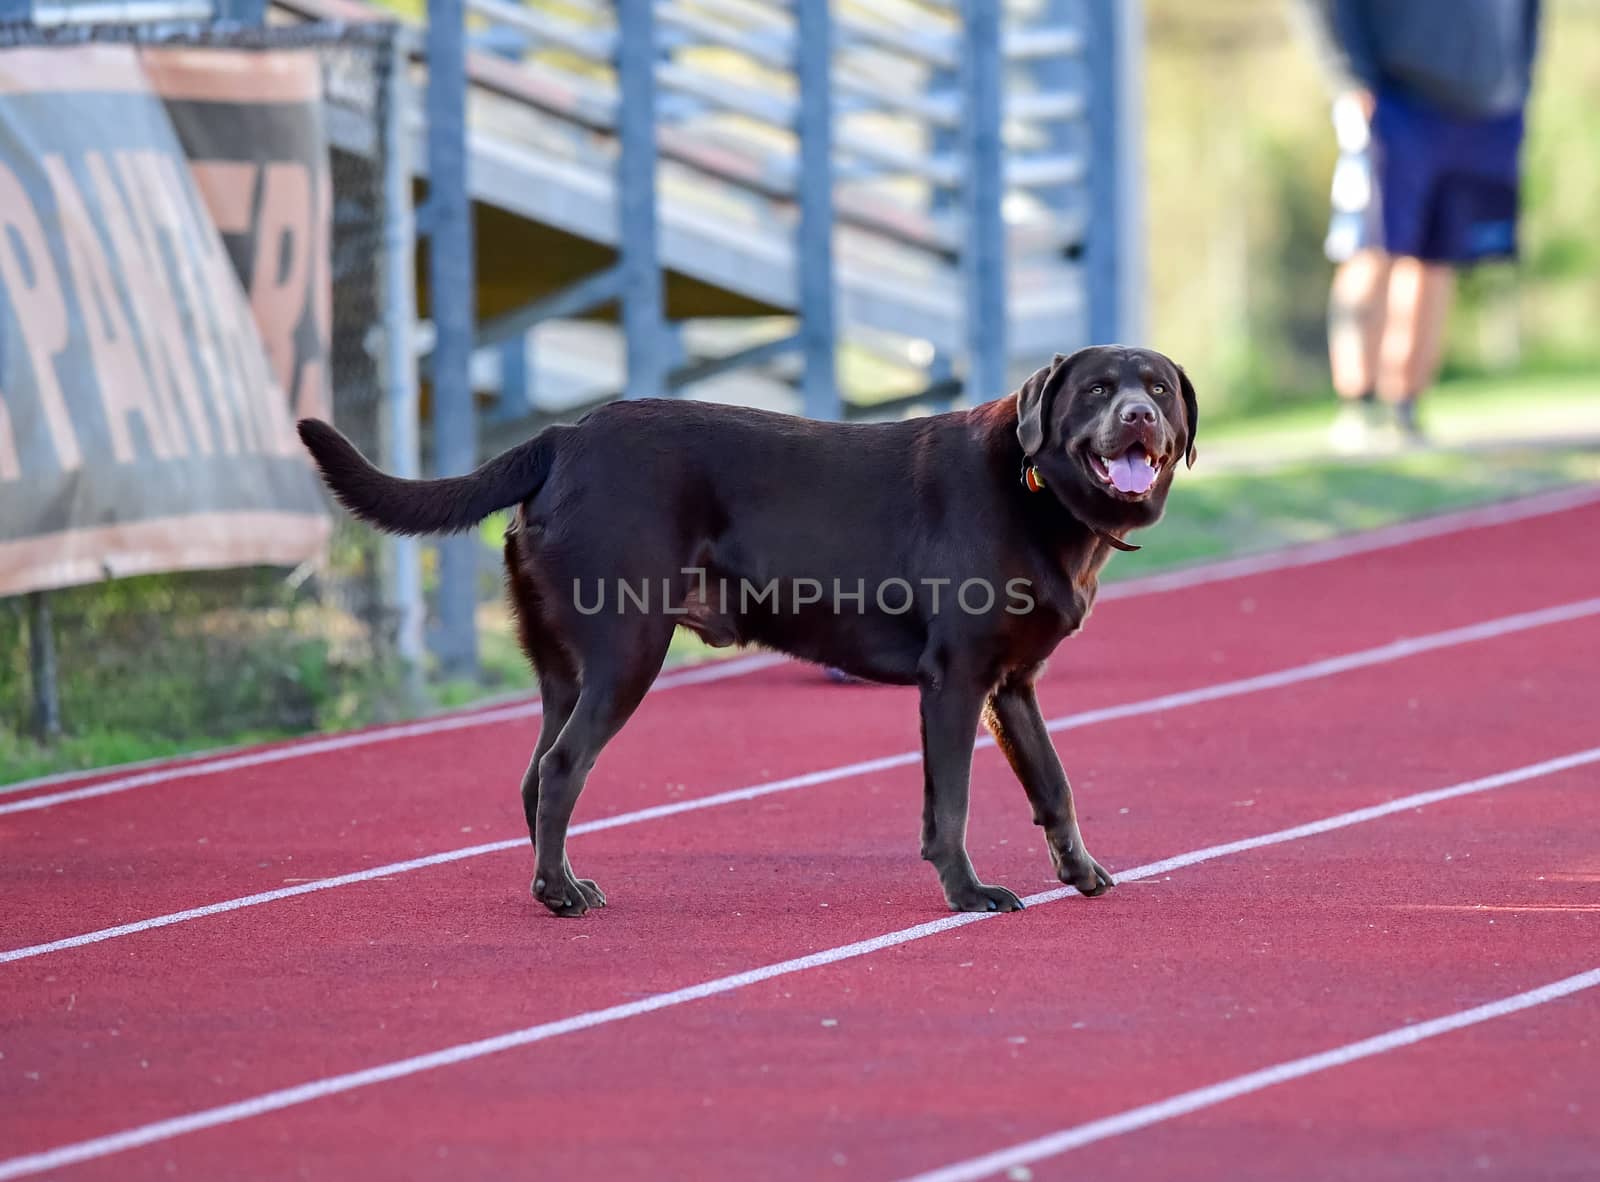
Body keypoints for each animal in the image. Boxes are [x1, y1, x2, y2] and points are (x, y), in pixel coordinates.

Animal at [302, 347, 1203, 921]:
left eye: (1158, 389)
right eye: (1095, 390)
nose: (1137, 416)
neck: (1036, 488)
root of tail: (560, 438)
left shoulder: (1010, 687)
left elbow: (1054, 784)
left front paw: (1082, 874)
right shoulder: (953, 681)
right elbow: (949, 803)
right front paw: (969, 897)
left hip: (565, 666)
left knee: (534, 774)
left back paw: (551, 884)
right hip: (628, 651)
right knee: (560, 770)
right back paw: (559, 897)